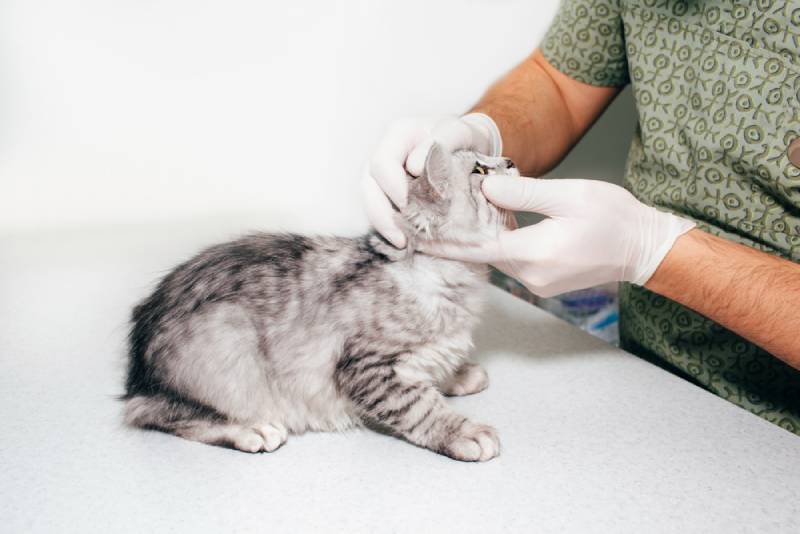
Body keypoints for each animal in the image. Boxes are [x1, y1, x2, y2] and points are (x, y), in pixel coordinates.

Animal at [122, 144, 516, 462]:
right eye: (479, 171)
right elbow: (420, 406)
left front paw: (459, 373)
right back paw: (250, 430)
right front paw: (463, 432)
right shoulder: (369, 367)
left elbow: (437, 370)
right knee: (151, 414)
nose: (511, 161)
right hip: (226, 344)